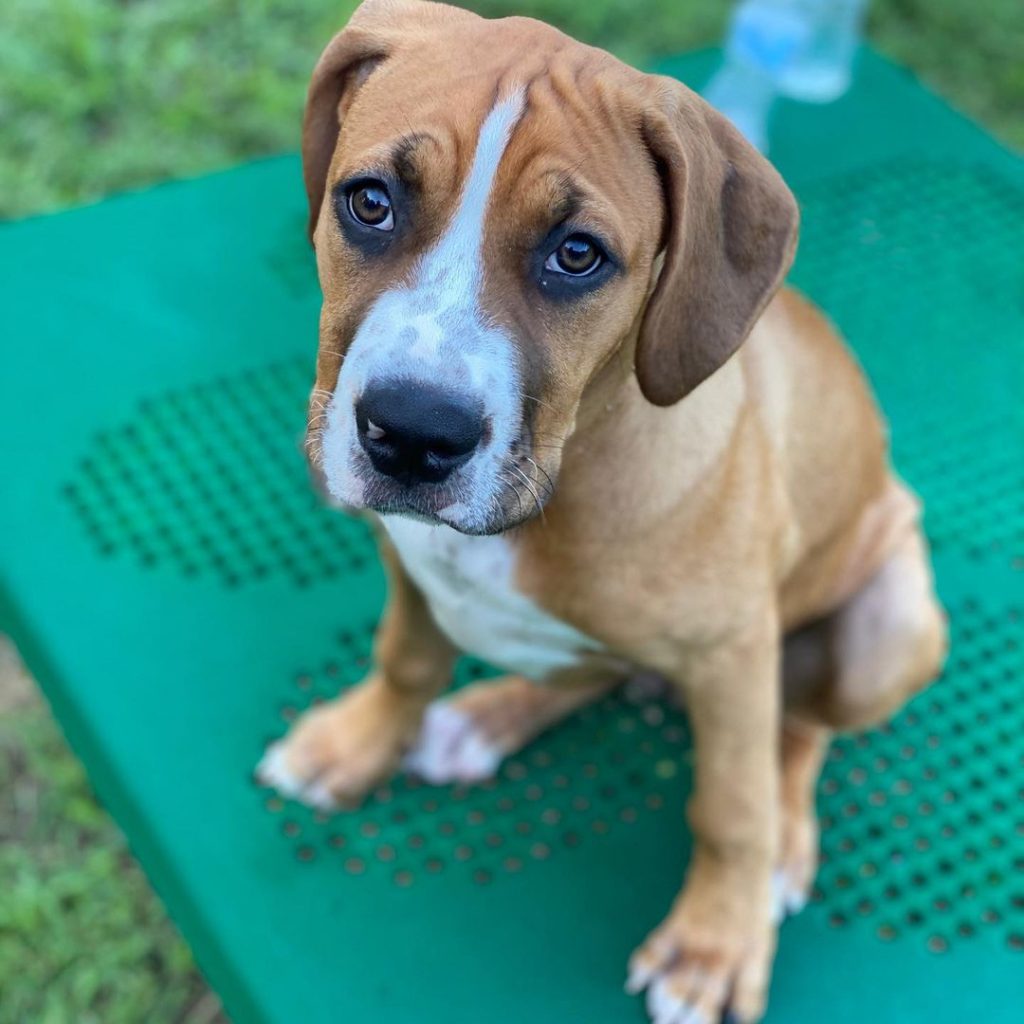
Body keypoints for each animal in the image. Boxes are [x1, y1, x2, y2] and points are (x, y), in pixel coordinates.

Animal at [256, 4, 942, 1019]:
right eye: (369, 201)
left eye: (577, 255)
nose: (412, 436)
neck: (566, 468)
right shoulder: (408, 564)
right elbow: (406, 659)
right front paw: (357, 742)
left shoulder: (735, 650)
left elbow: (730, 806)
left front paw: (714, 945)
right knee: (590, 672)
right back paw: (482, 719)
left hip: (887, 627)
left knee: (801, 727)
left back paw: (783, 844)